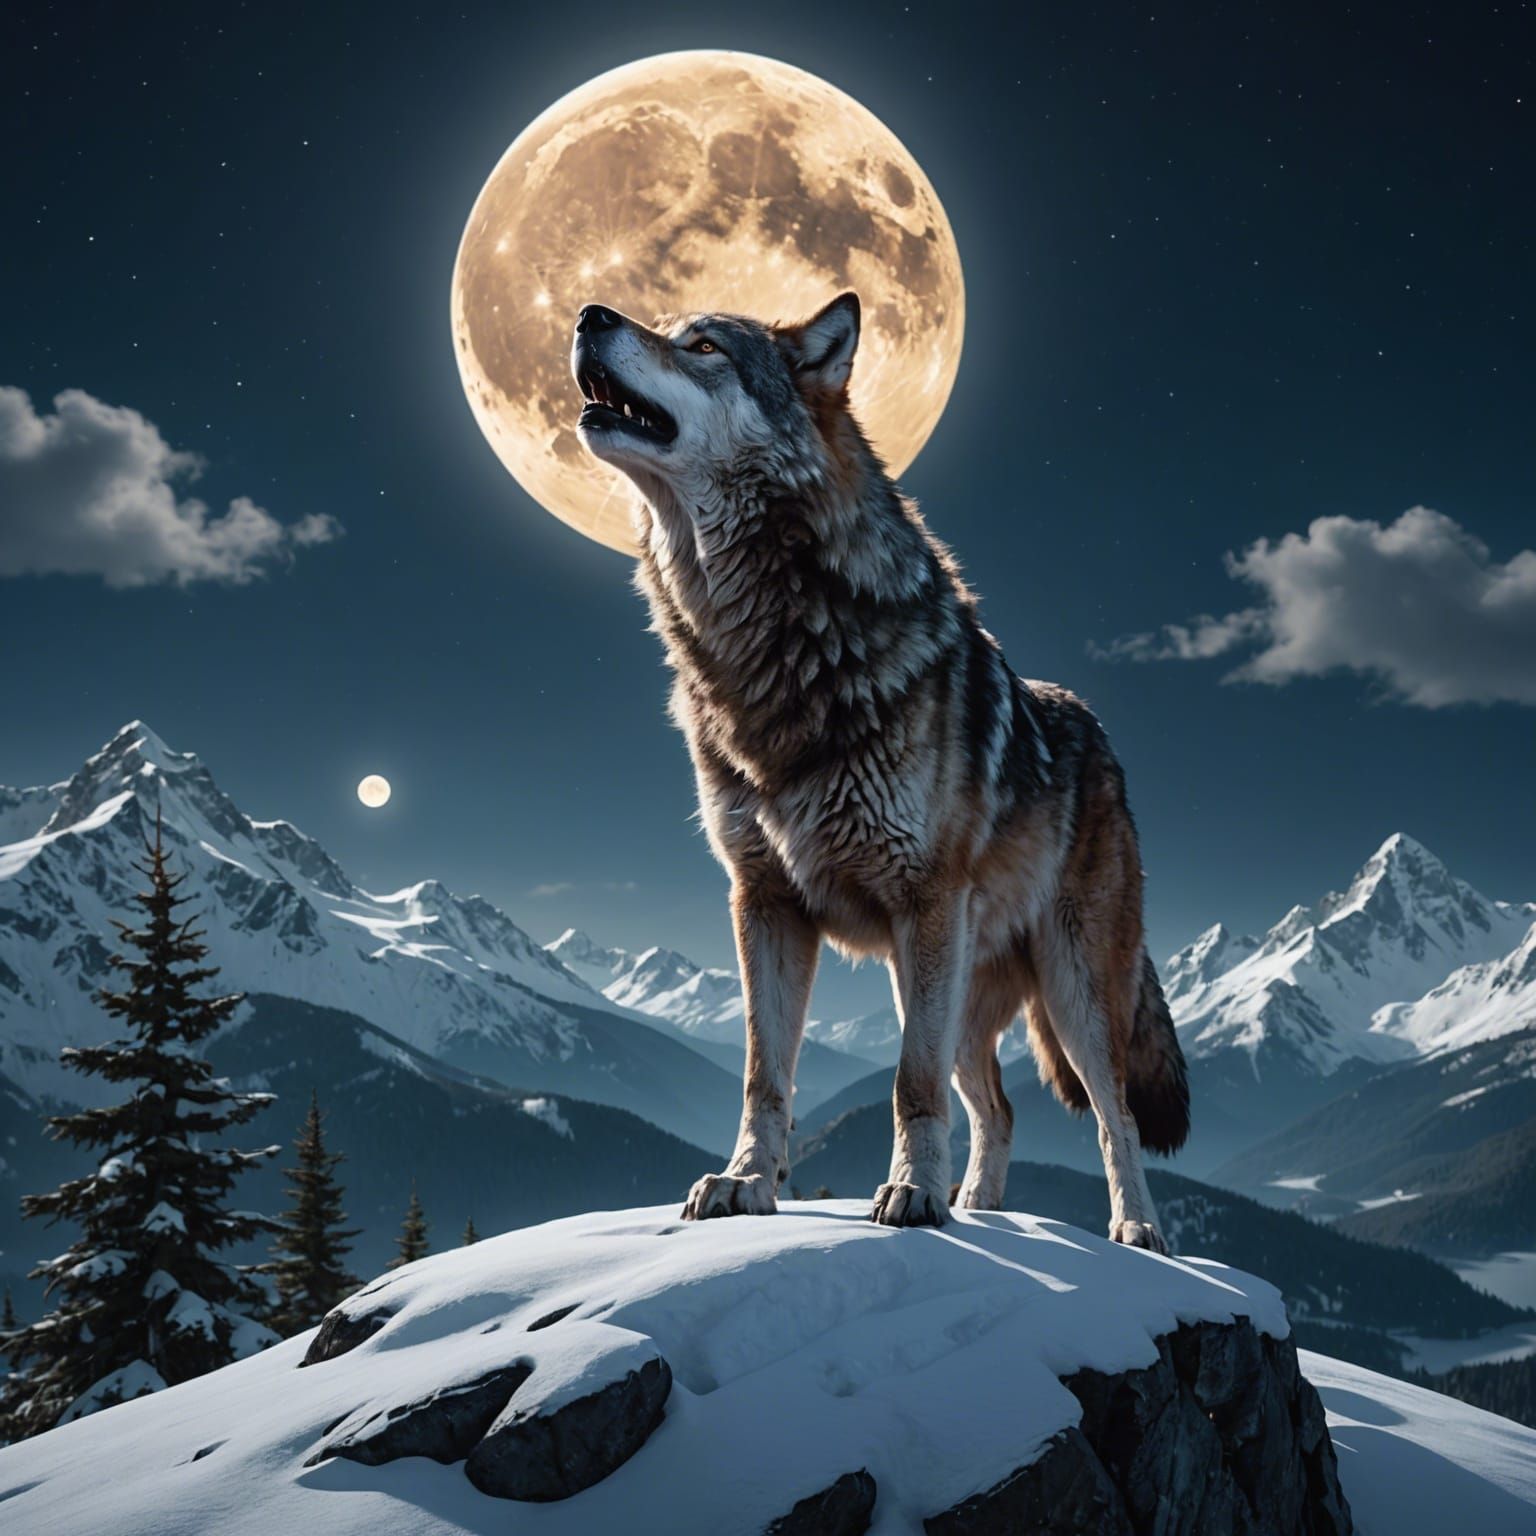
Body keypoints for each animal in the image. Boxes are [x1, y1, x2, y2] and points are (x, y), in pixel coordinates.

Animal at [570, 293, 1189, 1247]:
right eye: (662, 324)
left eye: (702, 346)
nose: (588, 313)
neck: (772, 652)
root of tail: (1098, 733)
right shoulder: (764, 903)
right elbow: (765, 1074)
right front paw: (746, 1183)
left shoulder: (921, 901)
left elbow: (908, 1084)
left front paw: (913, 1198)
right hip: (951, 990)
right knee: (999, 1107)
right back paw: (986, 1208)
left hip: (1064, 989)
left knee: (1111, 1110)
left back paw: (1134, 1230)